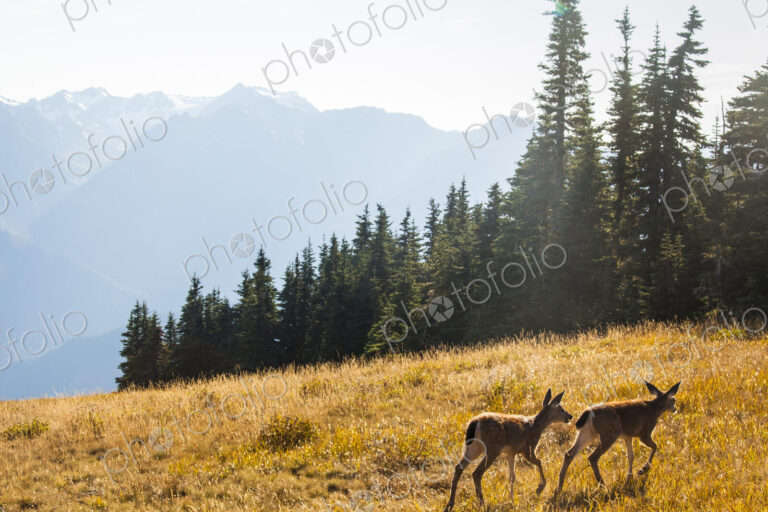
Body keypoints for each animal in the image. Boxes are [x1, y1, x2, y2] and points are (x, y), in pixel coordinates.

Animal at [443, 389, 573, 512]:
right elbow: (539, 462)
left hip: (474, 447)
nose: (570, 416)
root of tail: (475, 423)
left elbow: (512, 476)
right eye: (562, 409)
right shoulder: (528, 448)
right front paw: (540, 488)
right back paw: (482, 504)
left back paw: (450, 505)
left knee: (459, 467)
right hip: (492, 449)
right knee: (477, 473)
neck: (537, 425)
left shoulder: (511, 453)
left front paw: (511, 500)